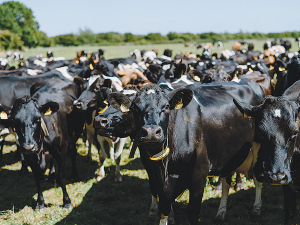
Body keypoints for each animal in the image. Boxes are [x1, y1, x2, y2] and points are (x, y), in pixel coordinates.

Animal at [0, 78, 85, 211]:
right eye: (14, 120)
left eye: (38, 119)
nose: (28, 147)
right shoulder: (31, 158)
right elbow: (39, 180)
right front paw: (40, 203)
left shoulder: (62, 152)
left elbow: (61, 178)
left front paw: (67, 202)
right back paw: (51, 175)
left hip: (73, 138)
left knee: (73, 153)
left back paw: (74, 174)